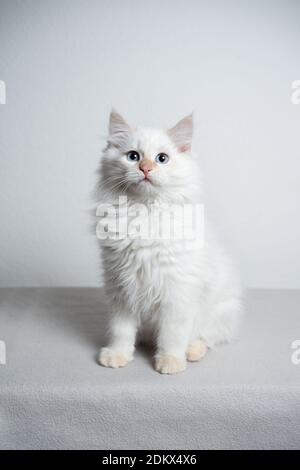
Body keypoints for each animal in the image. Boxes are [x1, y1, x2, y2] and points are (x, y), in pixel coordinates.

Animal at [97, 110, 243, 374]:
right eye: (133, 156)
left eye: (162, 158)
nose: (145, 168)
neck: (143, 211)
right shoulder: (121, 289)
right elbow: (121, 331)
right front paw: (117, 355)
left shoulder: (177, 293)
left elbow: (172, 335)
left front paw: (170, 361)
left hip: (218, 312)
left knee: (206, 338)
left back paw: (191, 352)